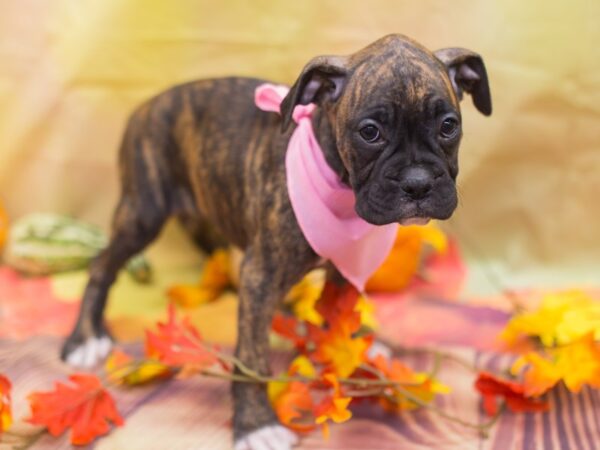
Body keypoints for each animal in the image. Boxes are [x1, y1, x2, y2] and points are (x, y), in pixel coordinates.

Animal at [62, 35, 492, 450]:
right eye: (370, 132)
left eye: (448, 126)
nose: (418, 183)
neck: (339, 184)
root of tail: (147, 106)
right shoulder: (261, 274)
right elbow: (251, 352)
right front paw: (256, 425)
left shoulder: (345, 266)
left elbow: (342, 313)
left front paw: (356, 348)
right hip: (142, 212)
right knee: (101, 265)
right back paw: (85, 338)